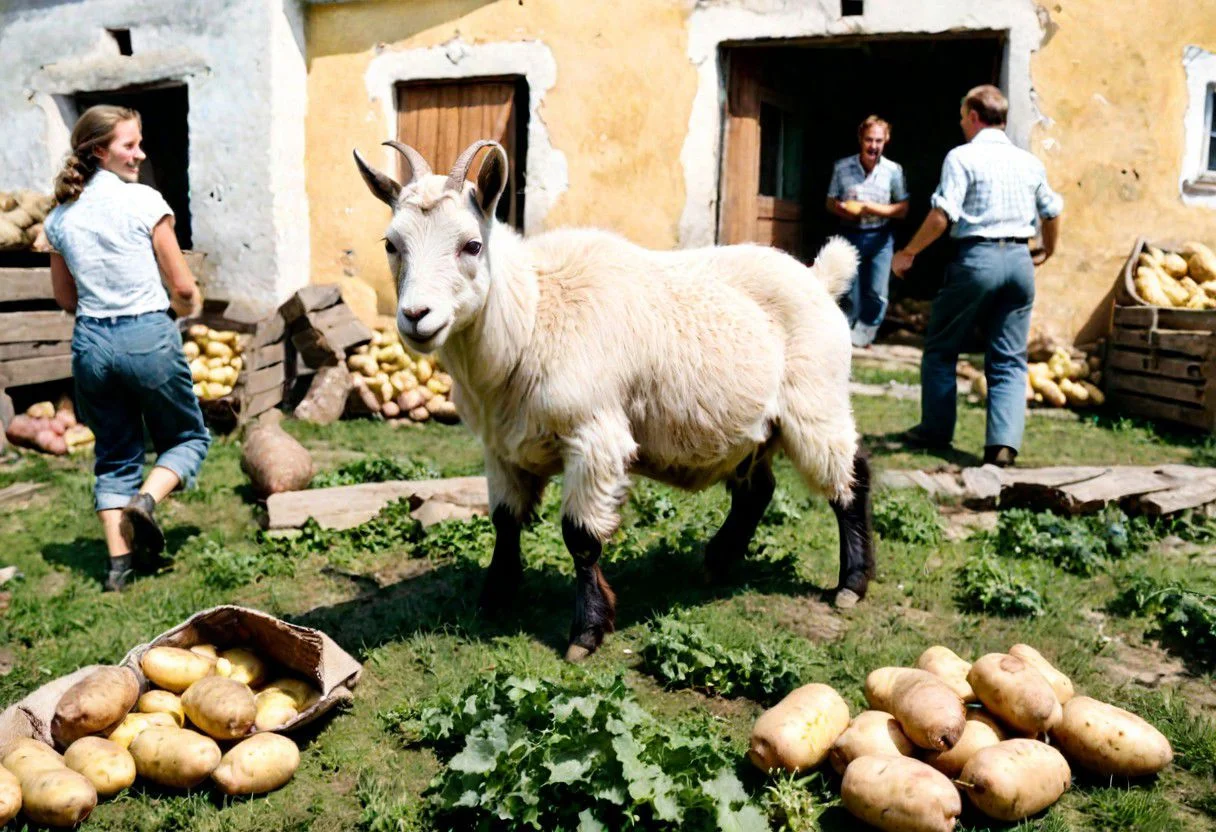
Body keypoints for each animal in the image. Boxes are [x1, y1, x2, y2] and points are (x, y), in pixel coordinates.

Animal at [354, 139, 875, 661]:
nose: (416, 316)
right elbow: (505, 521)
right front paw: (495, 598)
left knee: (850, 476)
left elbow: (580, 537)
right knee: (756, 491)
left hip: (816, 401)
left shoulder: (594, 437)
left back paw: (850, 585)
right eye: (391, 244)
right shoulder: (501, 447)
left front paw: (585, 633)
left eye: (472, 245)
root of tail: (820, 277)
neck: (534, 315)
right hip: (755, 430)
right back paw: (716, 562)